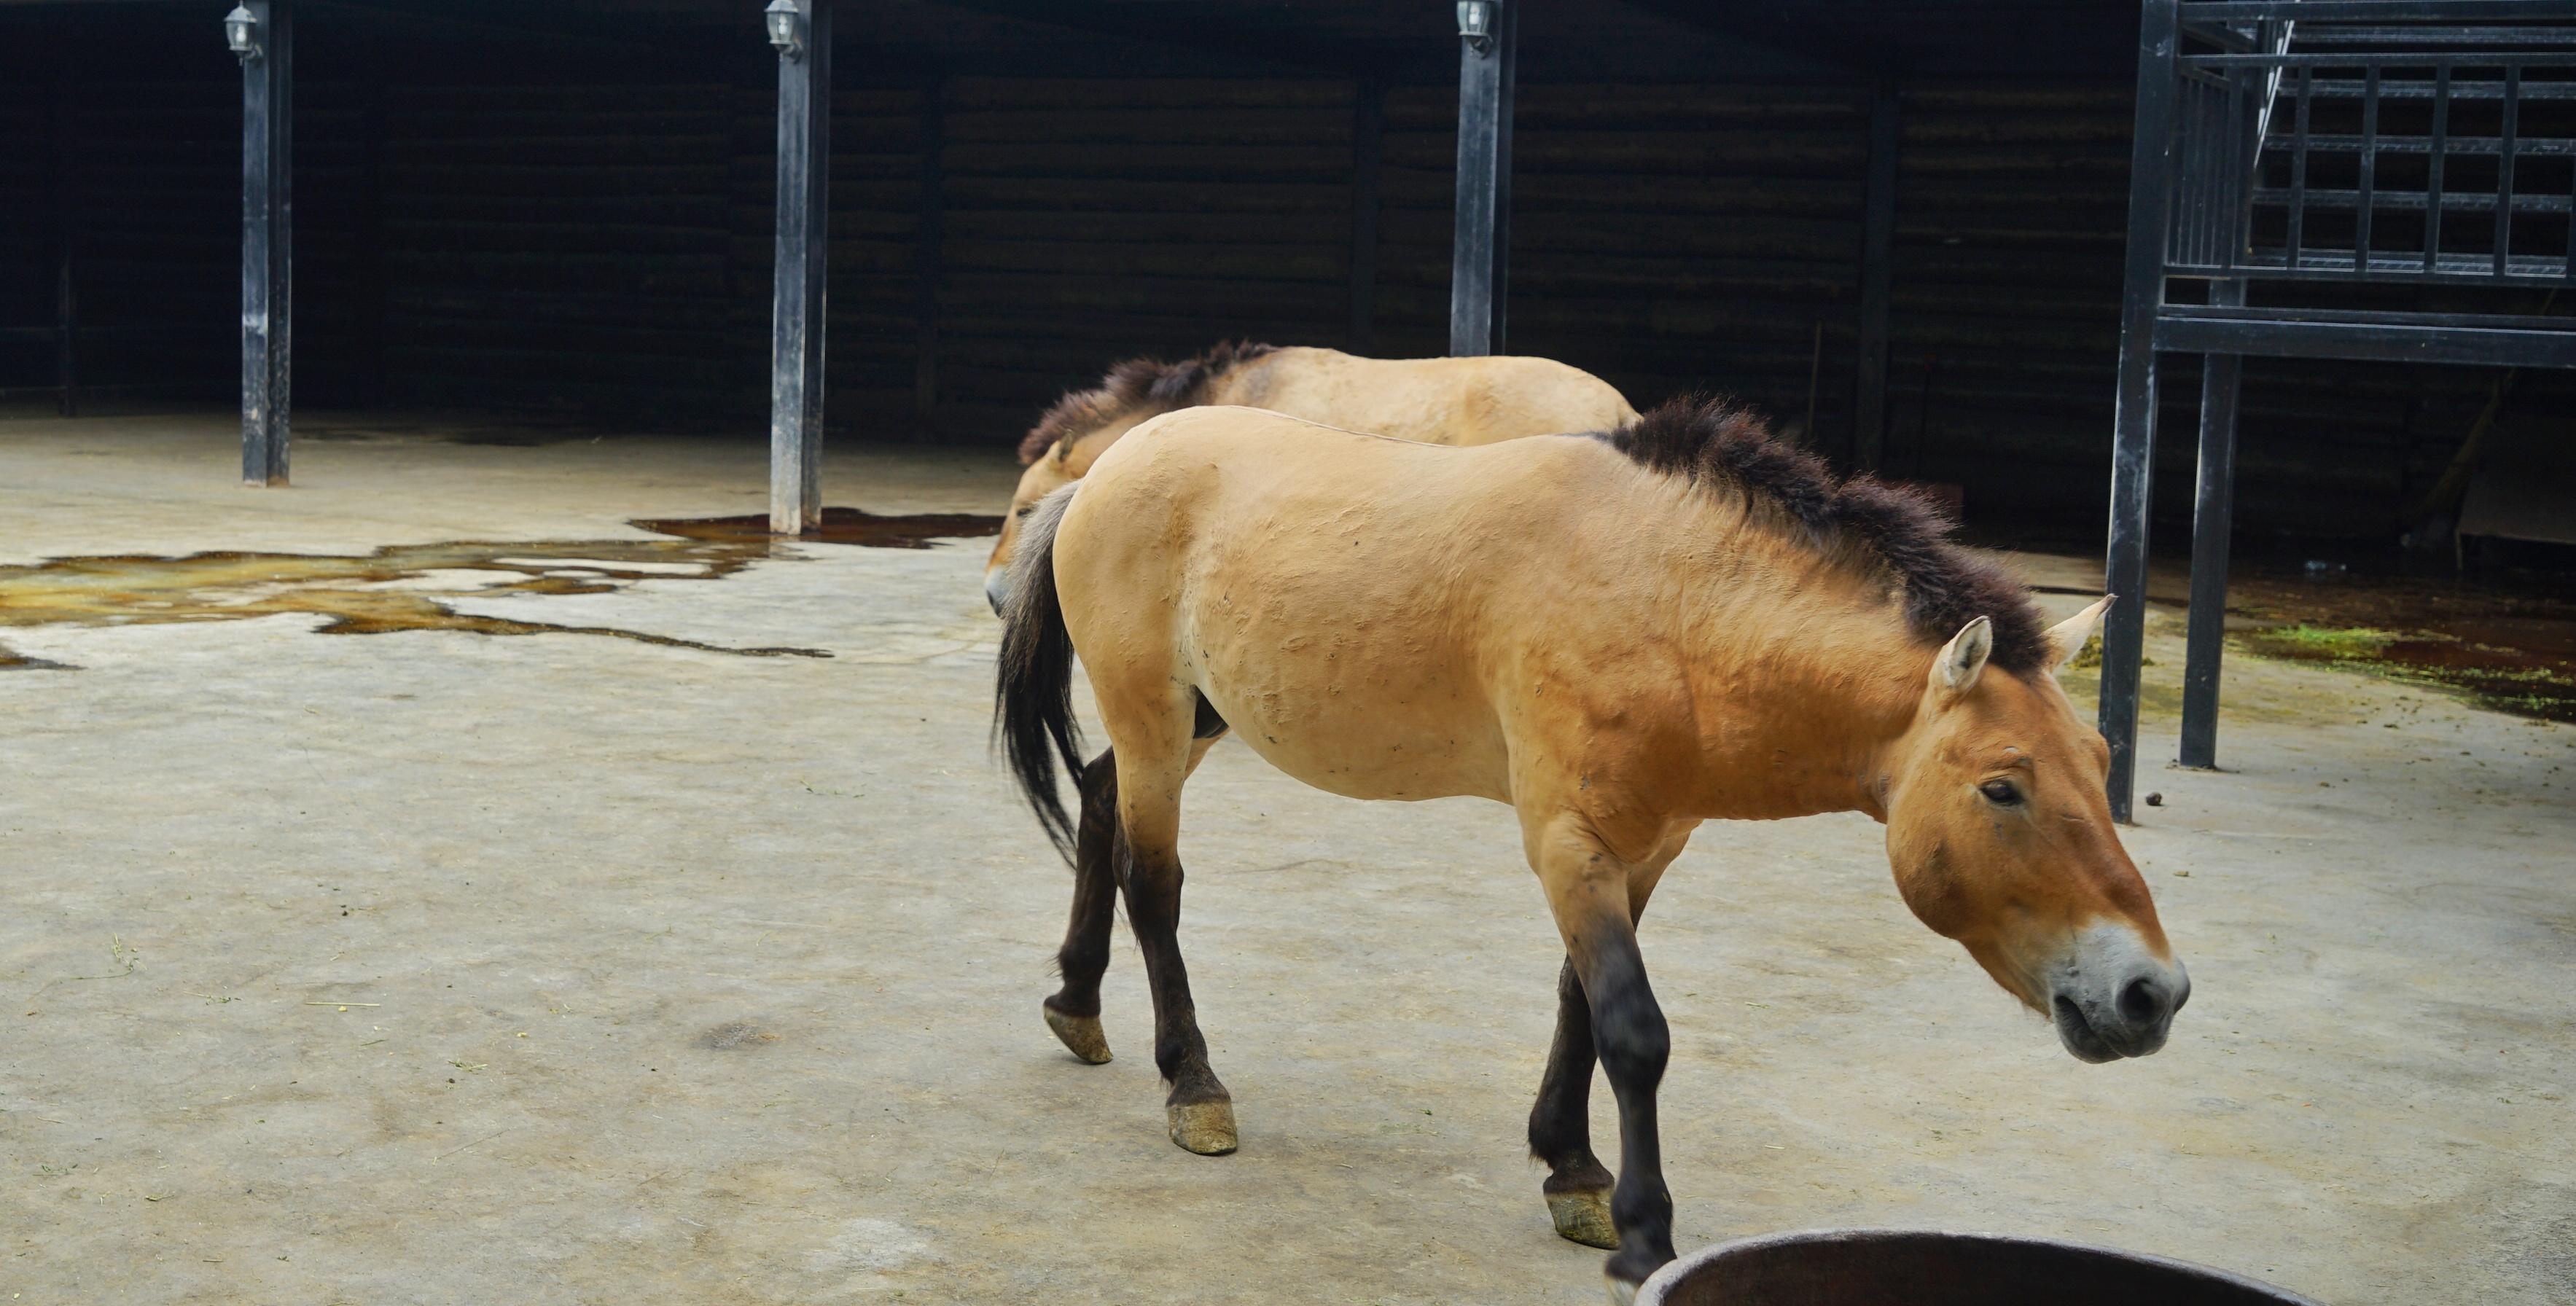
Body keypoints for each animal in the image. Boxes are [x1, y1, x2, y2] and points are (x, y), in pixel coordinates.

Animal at [994, 399, 2184, 1298]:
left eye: (2099, 757)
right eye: (2002, 787)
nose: (2149, 995)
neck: (1671, 600)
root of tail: (1105, 472)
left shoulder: (1644, 848)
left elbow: (1580, 1000)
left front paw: (1570, 1168)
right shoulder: (1568, 842)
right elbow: (1634, 1029)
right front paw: (1642, 1229)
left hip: (1194, 718)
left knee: (1097, 803)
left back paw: (1077, 1005)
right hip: (1156, 714)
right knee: (1154, 882)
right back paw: (1192, 1085)